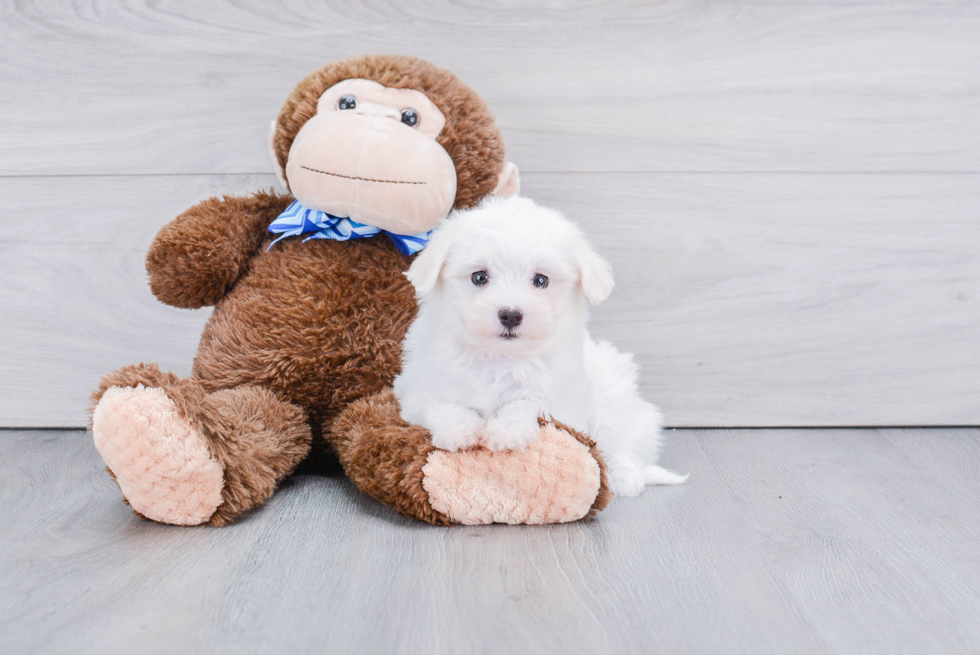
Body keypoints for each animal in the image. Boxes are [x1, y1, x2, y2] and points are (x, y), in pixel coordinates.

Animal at [392, 197, 688, 494]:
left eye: (541, 280)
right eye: (479, 277)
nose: (511, 315)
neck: (502, 357)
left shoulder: (562, 401)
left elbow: (526, 402)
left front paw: (506, 433)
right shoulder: (416, 389)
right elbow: (443, 405)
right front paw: (460, 431)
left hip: (612, 393)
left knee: (624, 440)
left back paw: (623, 476)